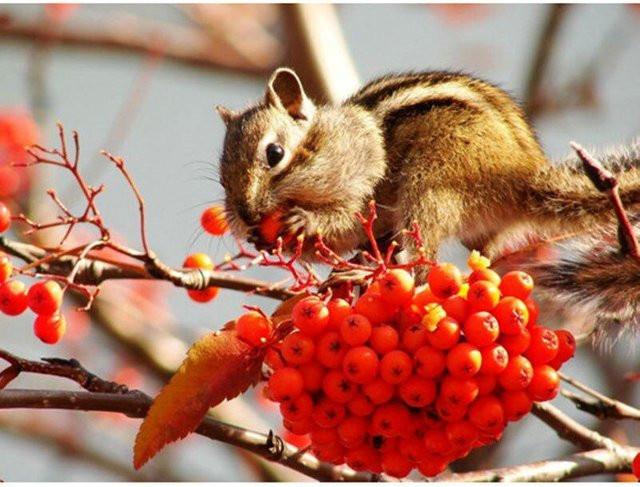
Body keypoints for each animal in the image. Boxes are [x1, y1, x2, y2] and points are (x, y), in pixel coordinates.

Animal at [216, 67, 640, 338]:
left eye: (274, 153)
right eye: (221, 172)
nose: (247, 215)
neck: (323, 141)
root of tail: (524, 177)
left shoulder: (365, 179)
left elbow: (350, 219)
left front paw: (305, 222)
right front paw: (265, 238)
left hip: (432, 184)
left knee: (424, 265)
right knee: (479, 254)